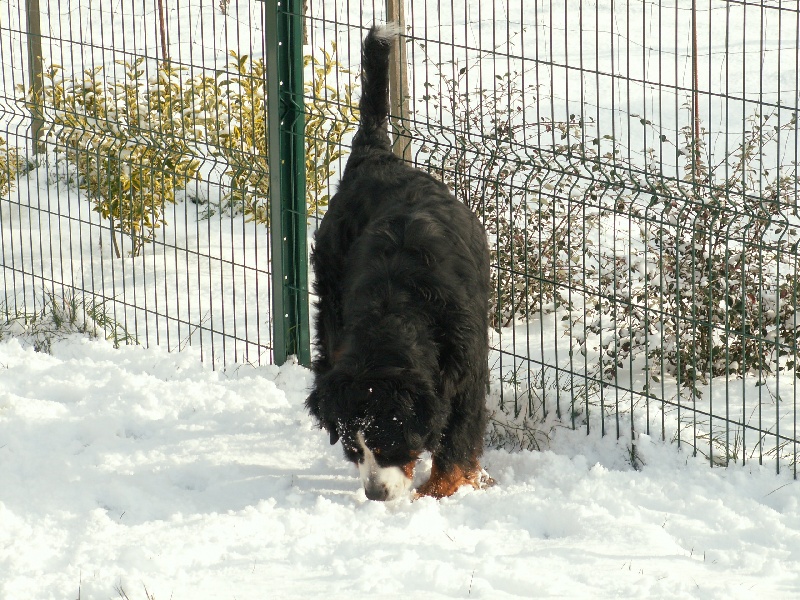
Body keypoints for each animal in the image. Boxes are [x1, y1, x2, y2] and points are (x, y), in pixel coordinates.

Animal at [308, 24, 490, 502]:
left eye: (391, 441)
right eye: (353, 448)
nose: (375, 494)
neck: (399, 309)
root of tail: (374, 154)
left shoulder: (468, 364)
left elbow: (458, 434)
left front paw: (442, 490)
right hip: (329, 300)